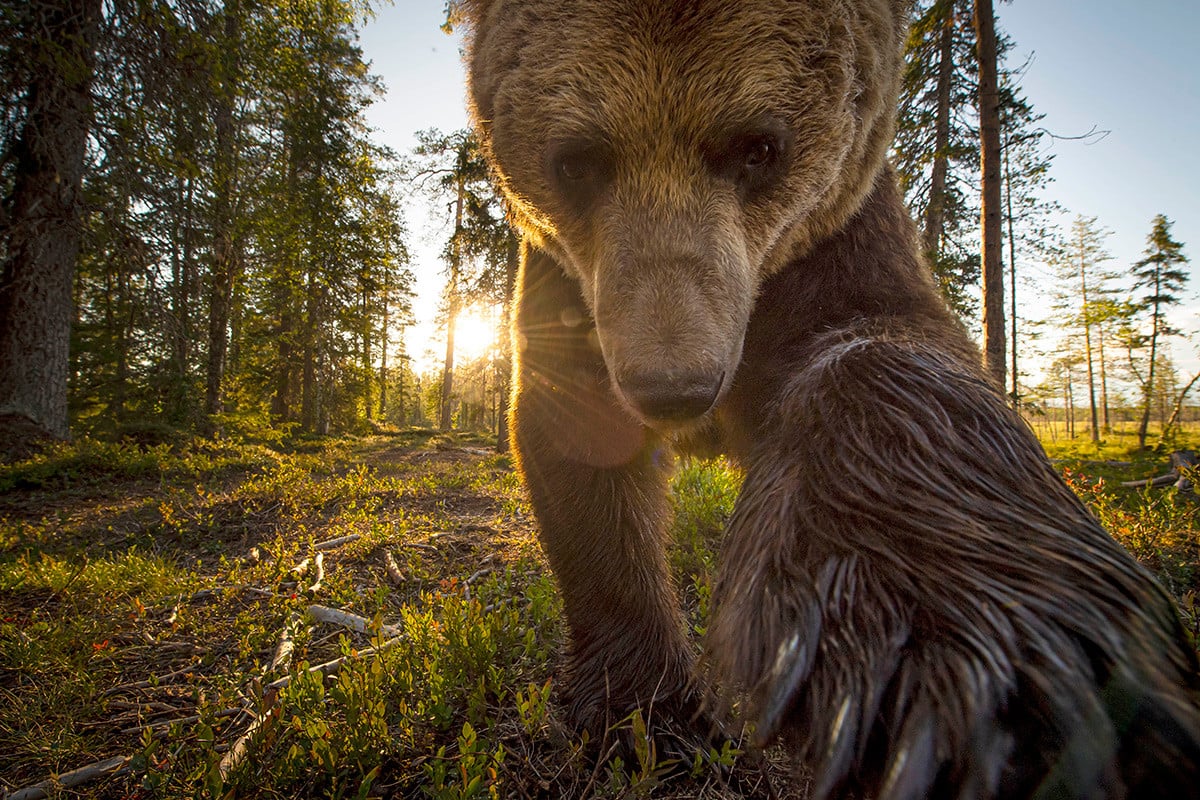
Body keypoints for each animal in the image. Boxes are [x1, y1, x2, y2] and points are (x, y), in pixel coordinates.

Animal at [458, 0, 1200, 796]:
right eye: (576, 160)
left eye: (759, 148)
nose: (676, 386)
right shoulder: (571, 281)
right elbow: (579, 441)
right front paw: (645, 720)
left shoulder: (841, 234)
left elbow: (889, 355)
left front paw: (963, 679)